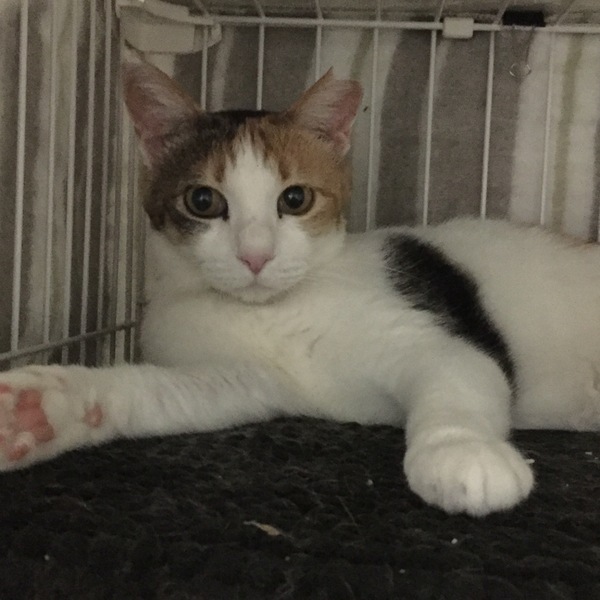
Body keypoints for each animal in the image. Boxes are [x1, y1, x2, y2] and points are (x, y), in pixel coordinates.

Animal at [0, 55, 599, 517]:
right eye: (202, 201)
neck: (270, 313)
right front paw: (44, 409)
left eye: (295, 199)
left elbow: (456, 390)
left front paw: (463, 452)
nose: (256, 255)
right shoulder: (248, 381)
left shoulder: (433, 340)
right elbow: (154, 392)